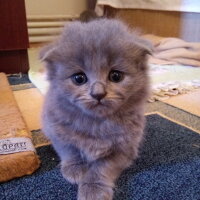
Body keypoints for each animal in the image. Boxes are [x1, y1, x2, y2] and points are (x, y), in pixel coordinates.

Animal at [39, 17, 151, 200]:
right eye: (79, 78)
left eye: (115, 76)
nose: (98, 93)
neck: (96, 123)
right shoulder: (56, 131)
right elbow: (70, 151)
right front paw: (75, 169)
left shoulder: (125, 148)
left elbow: (102, 167)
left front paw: (93, 188)